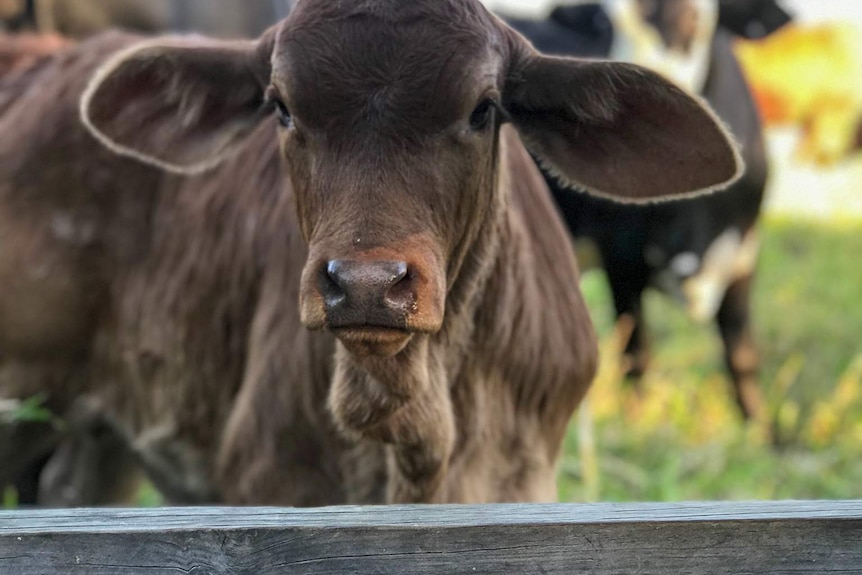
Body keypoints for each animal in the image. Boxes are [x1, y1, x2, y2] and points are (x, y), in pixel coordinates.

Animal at [506, 1, 796, 424]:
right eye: (599, 24)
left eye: (688, 17)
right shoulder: (620, 259)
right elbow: (637, 352)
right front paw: (637, 421)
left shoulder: (744, 252)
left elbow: (742, 355)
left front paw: (758, 428)